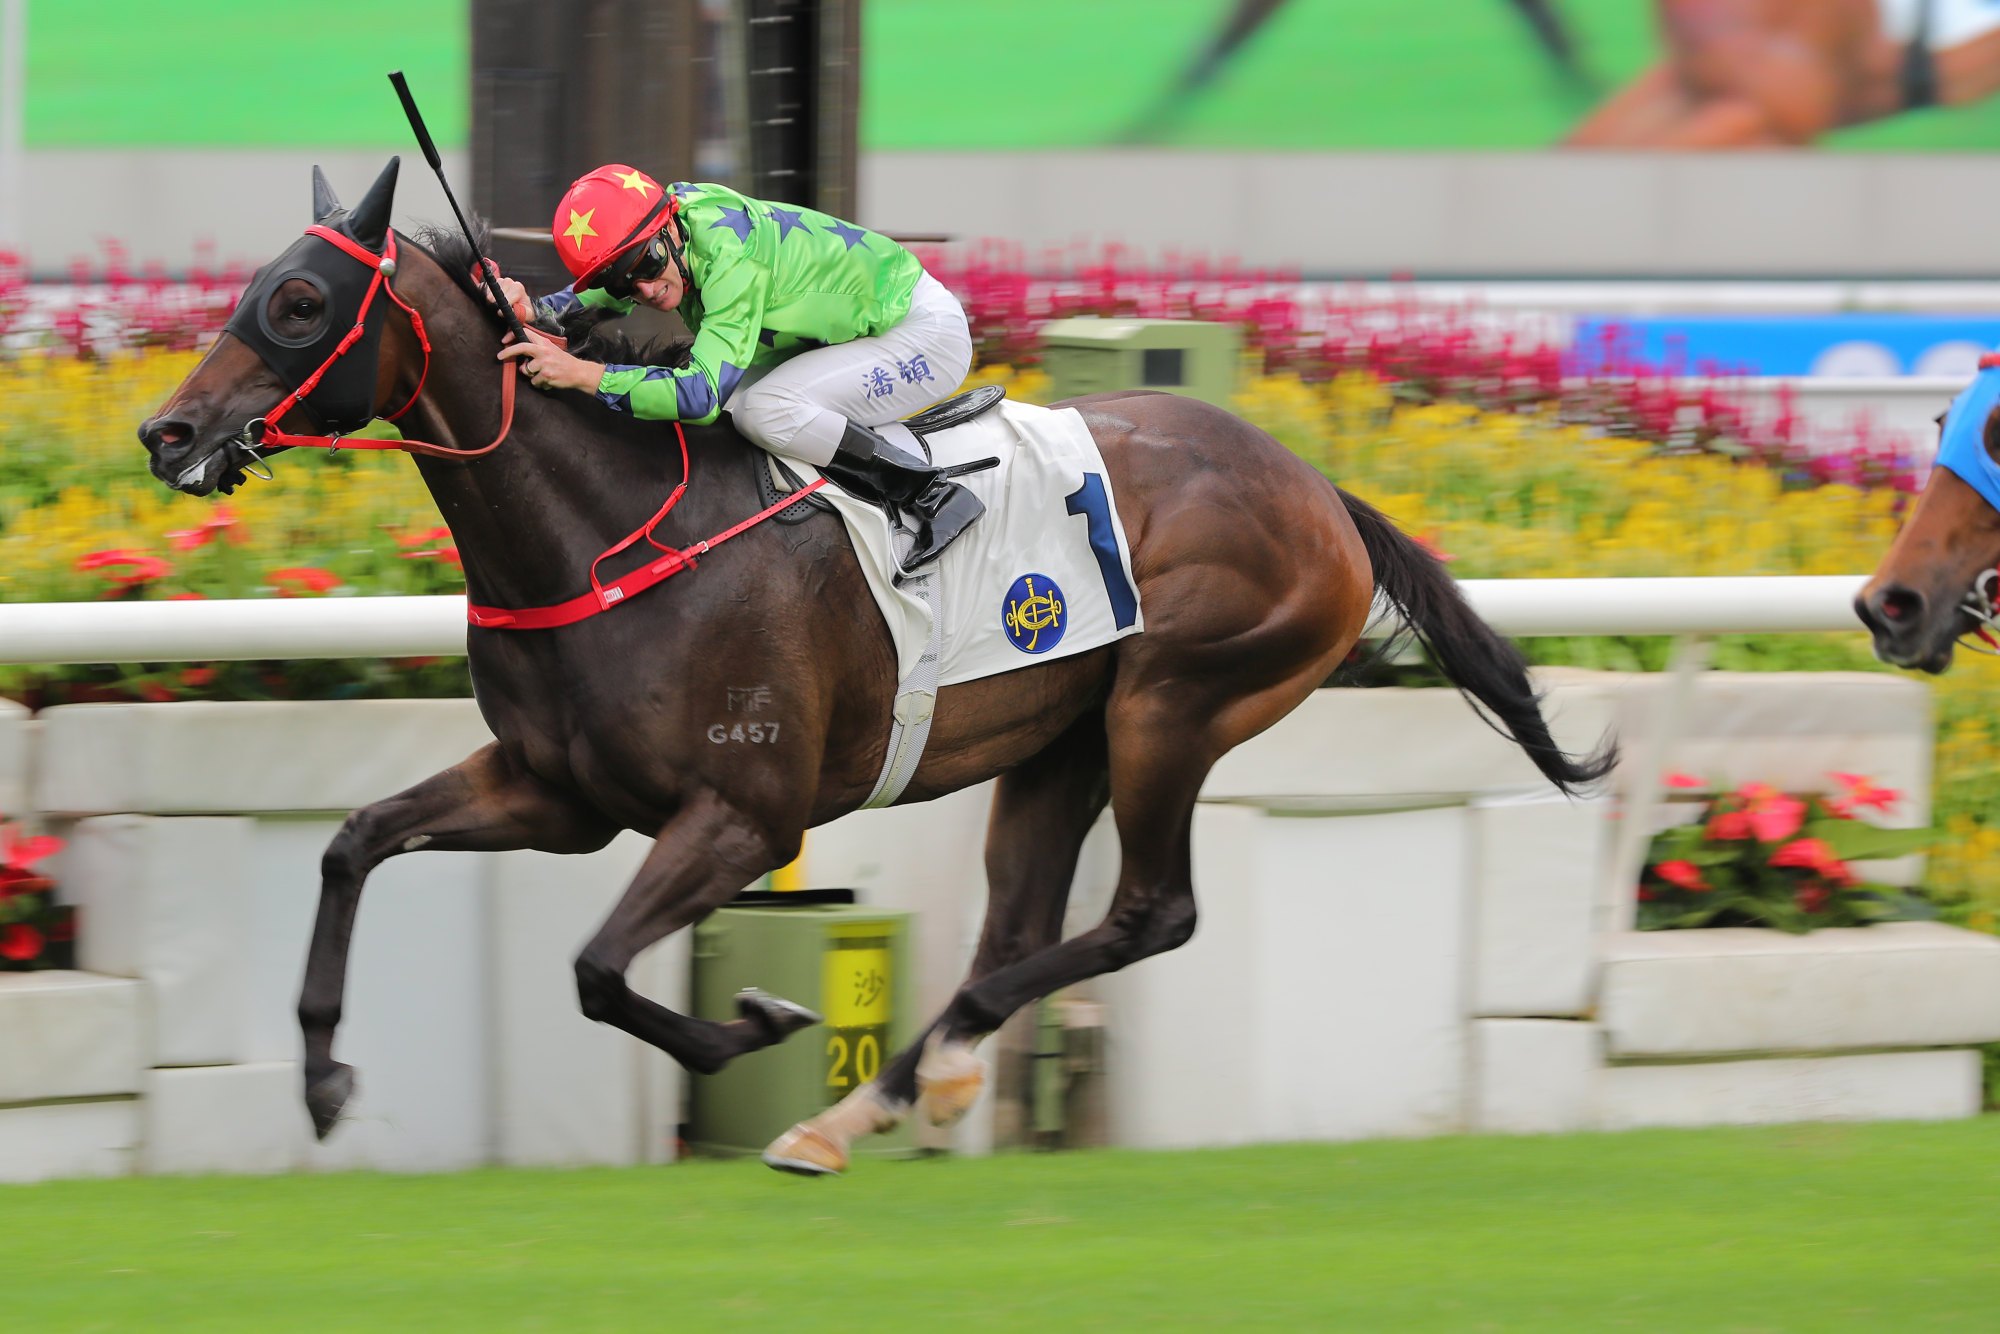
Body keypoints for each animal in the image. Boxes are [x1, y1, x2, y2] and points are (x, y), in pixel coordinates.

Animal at [137, 159, 1608, 1176]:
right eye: (255, 282)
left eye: (302, 300)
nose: (169, 431)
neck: (608, 534)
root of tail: (1318, 489)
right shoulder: (553, 794)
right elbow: (353, 842)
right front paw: (321, 1078)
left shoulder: (745, 813)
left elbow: (602, 969)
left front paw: (757, 1022)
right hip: (1061, 738)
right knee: (1019, 924)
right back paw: (886, 1096)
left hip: (1175, 703)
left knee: (1153, 911)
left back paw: (881, 1091)